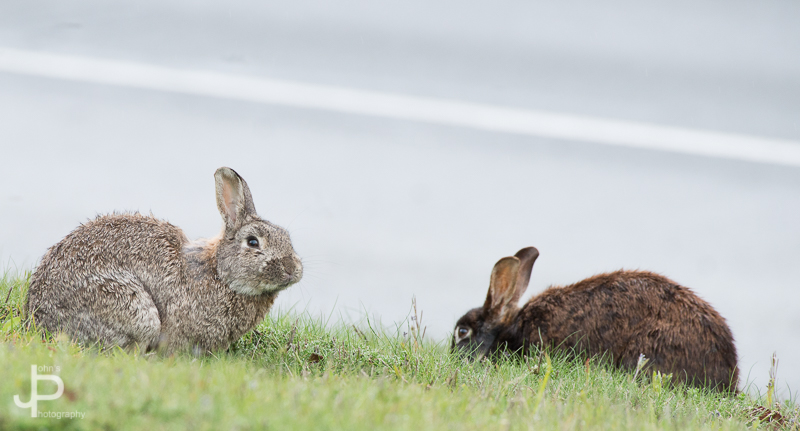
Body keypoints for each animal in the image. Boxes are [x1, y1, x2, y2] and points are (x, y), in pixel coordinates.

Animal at [25, 167, 303, 354]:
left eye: (287, 237)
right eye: (253, 242)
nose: (293, 269)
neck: (219, 273)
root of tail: (39, 320)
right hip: (133, 308)